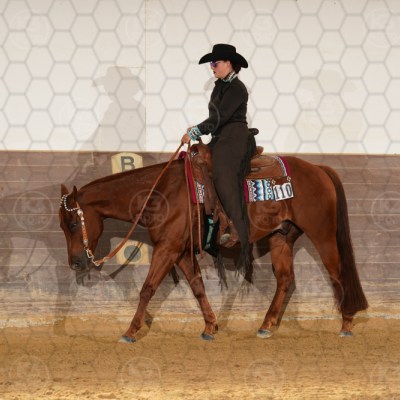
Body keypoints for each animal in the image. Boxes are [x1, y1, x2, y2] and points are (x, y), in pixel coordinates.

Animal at [59, 149, 368, 343]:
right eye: (63, 225)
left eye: (73, 224)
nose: (75, 263)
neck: (161, 192)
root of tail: (319, 169)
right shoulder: (181, 251)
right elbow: (197, 287)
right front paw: (210, 326)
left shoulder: (167, 248)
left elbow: (147, 289)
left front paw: (130, 331)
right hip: (281, 236)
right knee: (285, 280)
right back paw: (266, 326)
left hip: (322, 234)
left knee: (337, 274)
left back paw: (346, 324)